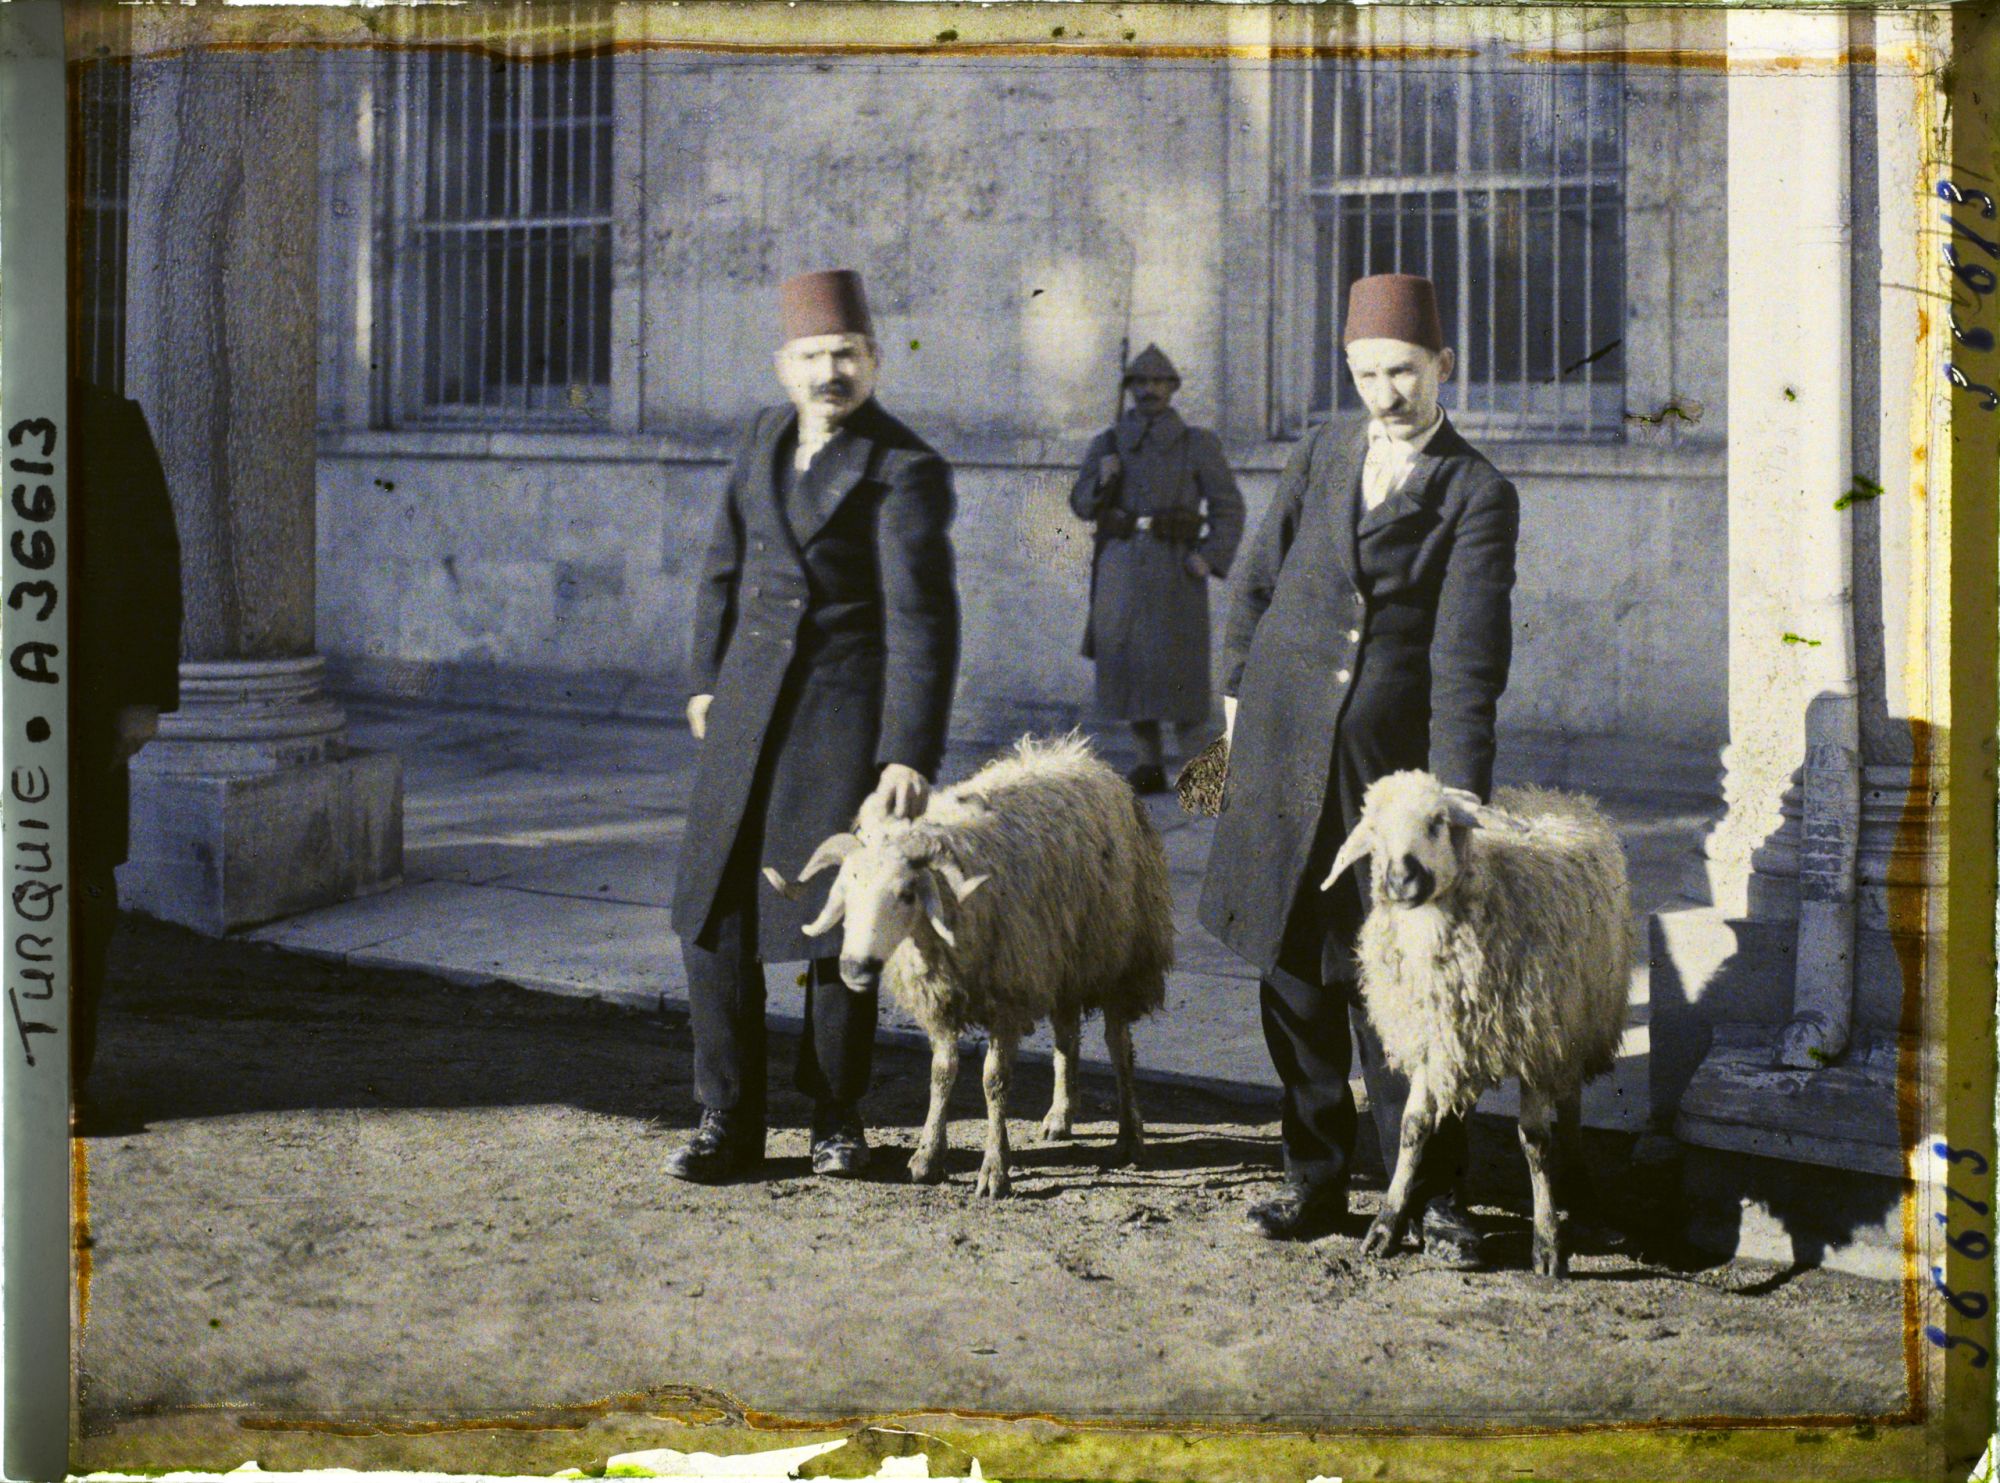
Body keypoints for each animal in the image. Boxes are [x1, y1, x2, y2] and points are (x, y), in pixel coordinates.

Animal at [764, 734, 1175, 1198]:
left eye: (906, 894)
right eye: (845, 892)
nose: (854, 968)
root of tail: (1077, 754)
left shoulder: (1008, 996)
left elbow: (994, 1081)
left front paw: (994, 1170)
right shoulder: (942, 998)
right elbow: (941, 1073)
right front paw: (927, 1157)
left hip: (1120, 956)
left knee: (1118, 1046)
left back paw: (1129, 1137)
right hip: (1061, 959)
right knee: (1067, 1036)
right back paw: (1060, 1115)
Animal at [1322, 770, 1633, 1276]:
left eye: (1437, 822)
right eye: (1376, 834)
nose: (1399, 880)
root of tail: (1548, 793)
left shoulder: (1535, 1044)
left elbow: (1536, 1142)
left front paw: (1547, 1241)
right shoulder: (1433, 1040)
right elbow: (1412, 1127)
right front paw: (1387, 1223)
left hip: (1576, 1025)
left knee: (1569, 1107)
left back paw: (1578, 1186)